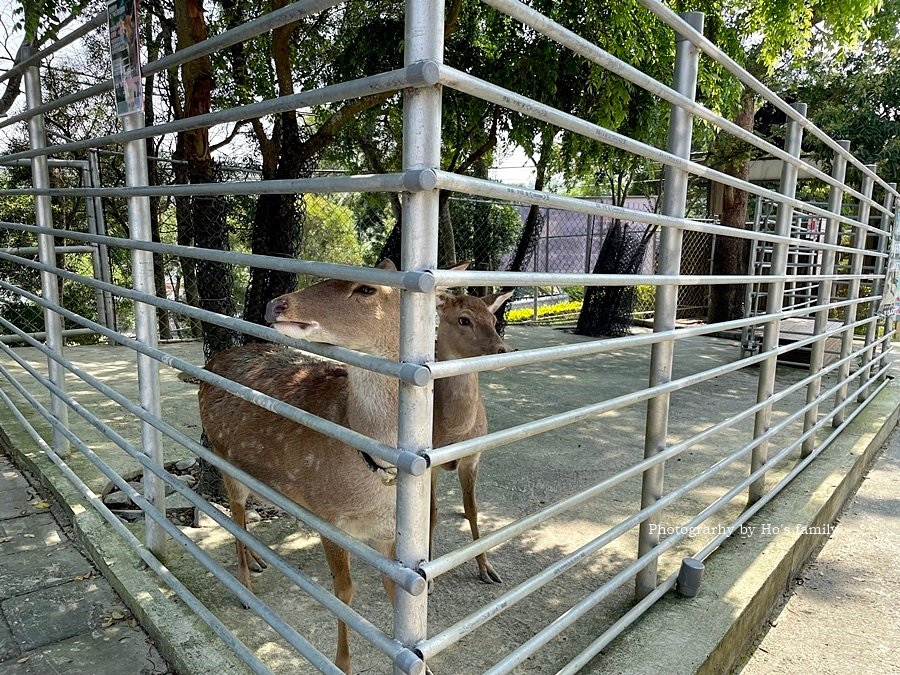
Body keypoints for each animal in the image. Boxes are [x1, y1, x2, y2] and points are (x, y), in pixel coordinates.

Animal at [430, 288, 510, 584]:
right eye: (464, 319)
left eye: (493, 319)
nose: (503, 350)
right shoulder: (431, 466)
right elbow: (432, 514)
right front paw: (429, 577)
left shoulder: (473, 457)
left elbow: (475, 509)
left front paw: (486, 568)